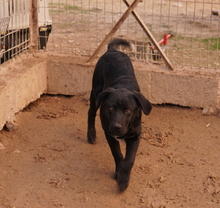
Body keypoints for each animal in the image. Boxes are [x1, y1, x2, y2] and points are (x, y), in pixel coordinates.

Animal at [87, 38, 152, 192]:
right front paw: (119, 173)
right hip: (96, 92)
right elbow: (117, 154)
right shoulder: (109, 134)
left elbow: (129, 160)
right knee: (91, 112)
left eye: (128, 111)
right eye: (111, 108)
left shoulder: (135, 136)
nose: (116, 127)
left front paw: (123, 178)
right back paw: (91, 135)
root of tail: (112, 50)